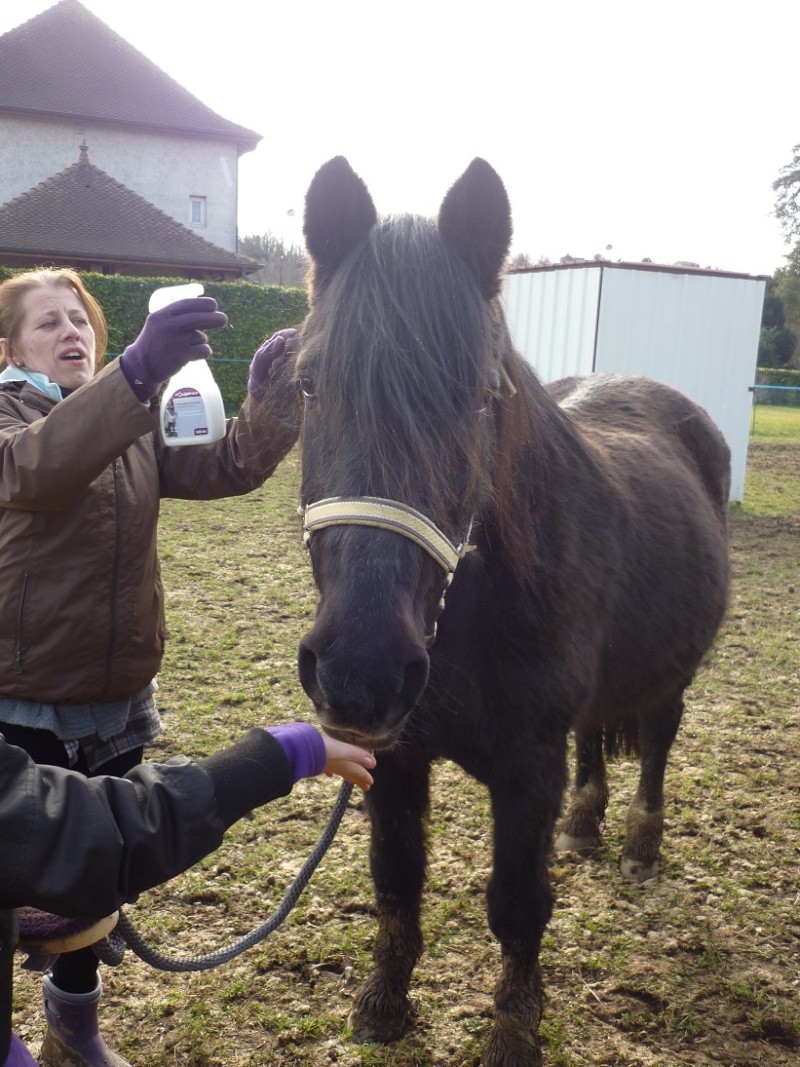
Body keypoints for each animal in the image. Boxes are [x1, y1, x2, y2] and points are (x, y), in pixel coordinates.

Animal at [296, 157, 733, 1067]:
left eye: (475, 395)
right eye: (309, 384)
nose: (359, 669)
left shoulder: (529, 764)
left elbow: (518, 901)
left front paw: (512, 1030)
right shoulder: (396, 753)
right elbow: (397, 875)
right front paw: (384, 1001)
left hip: (672, 671)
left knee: (657, 739)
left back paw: (638, 842)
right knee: (599, 734)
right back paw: (586, 824)